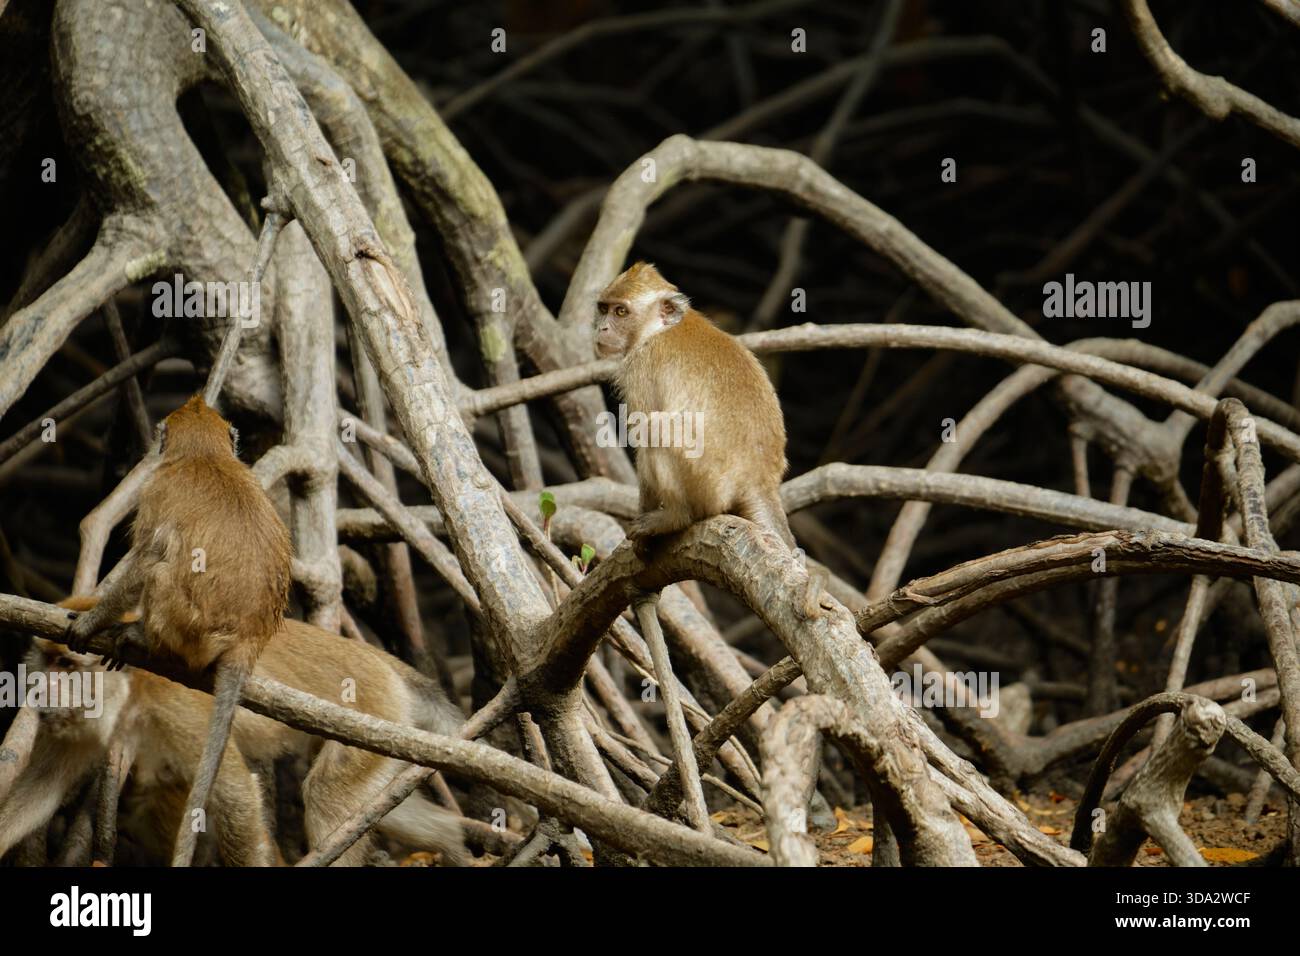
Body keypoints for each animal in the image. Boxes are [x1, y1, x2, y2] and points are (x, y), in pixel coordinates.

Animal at [3, 598, 468, 867]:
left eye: (67, 666)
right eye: (46, 659)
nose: (39, 688)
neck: (132, 689)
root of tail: (383, 662)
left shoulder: (180, 708)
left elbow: (236, 794)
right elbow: (41, 789)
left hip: (374, 708)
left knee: (327, 798)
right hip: (388, 730)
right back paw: (453, 846)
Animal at [65, 395, 292, 866]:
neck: (204, 455)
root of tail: (249, 638)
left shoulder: (155, 490)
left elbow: (145, 557)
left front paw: (95, 622)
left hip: (186, 625)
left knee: (158, 568)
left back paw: (141, 638)